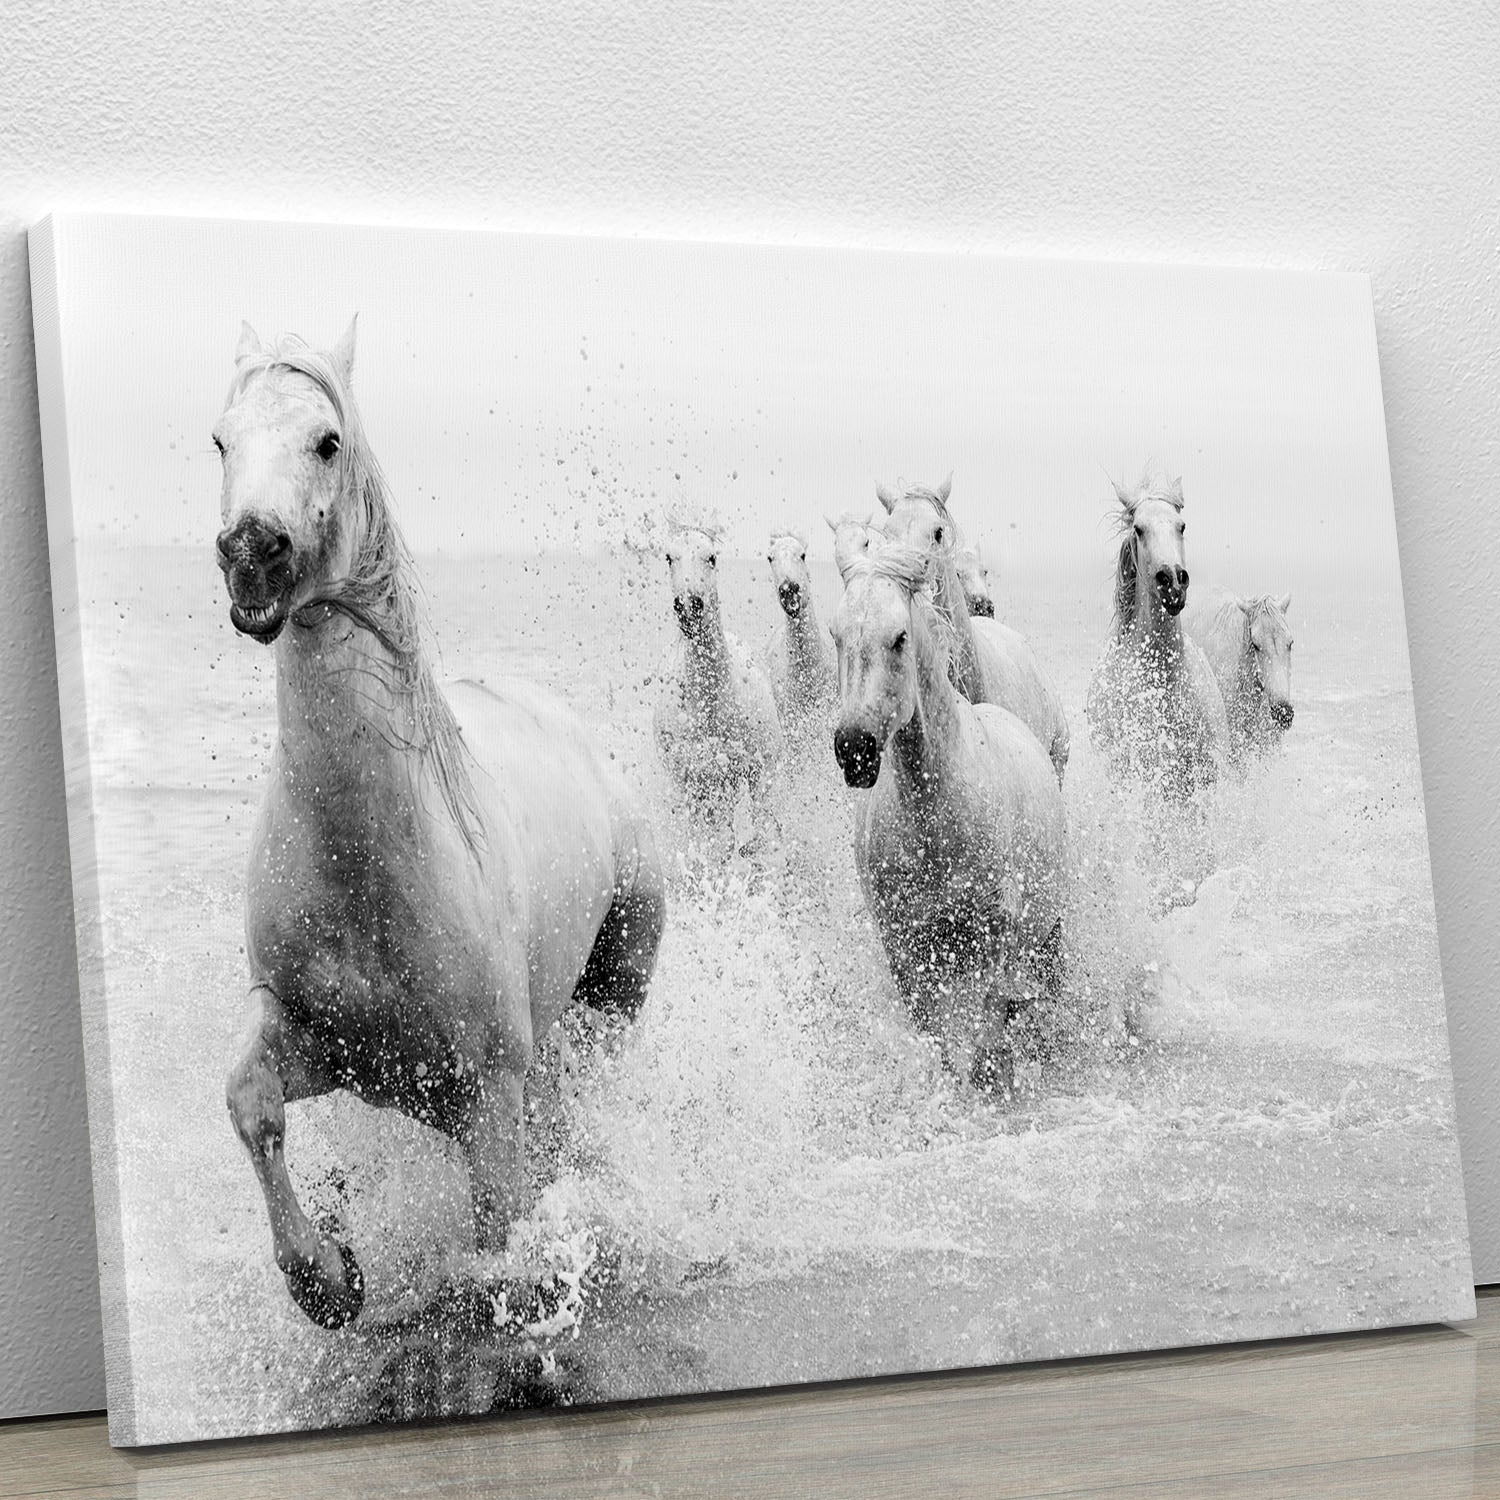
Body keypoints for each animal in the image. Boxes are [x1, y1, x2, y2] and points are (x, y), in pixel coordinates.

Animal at [215, 319, 666, 1330]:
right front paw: (327, 1277)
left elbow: (497, 1240)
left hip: (616, 992)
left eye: (327, 441)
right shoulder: (320, 1039)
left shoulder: (489, 1090)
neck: (369, 856)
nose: (251, 550)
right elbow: (251, 1101)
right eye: (220, 440)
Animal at [830, 542, 1067, 1091]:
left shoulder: (996, 936)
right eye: (836, 635)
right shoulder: (904, 948)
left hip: (1047, 932)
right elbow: (937, 1038)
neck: (933, 824)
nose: (854, 749)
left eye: (898, 638)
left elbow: (988, 1030)